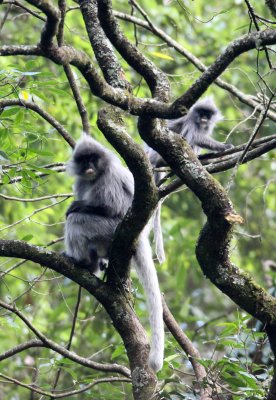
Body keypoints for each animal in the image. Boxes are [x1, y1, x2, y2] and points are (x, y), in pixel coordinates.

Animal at [64, 134, 164, 372]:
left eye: (93, 158)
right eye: (84, 160)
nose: (89, 166)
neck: (94, 177)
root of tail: (139, 238)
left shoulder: (109, 179)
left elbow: (111, 208)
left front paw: (77, 206)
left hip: (108, 230)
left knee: (76, 221)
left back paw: (83, 262)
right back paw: (94, 263)